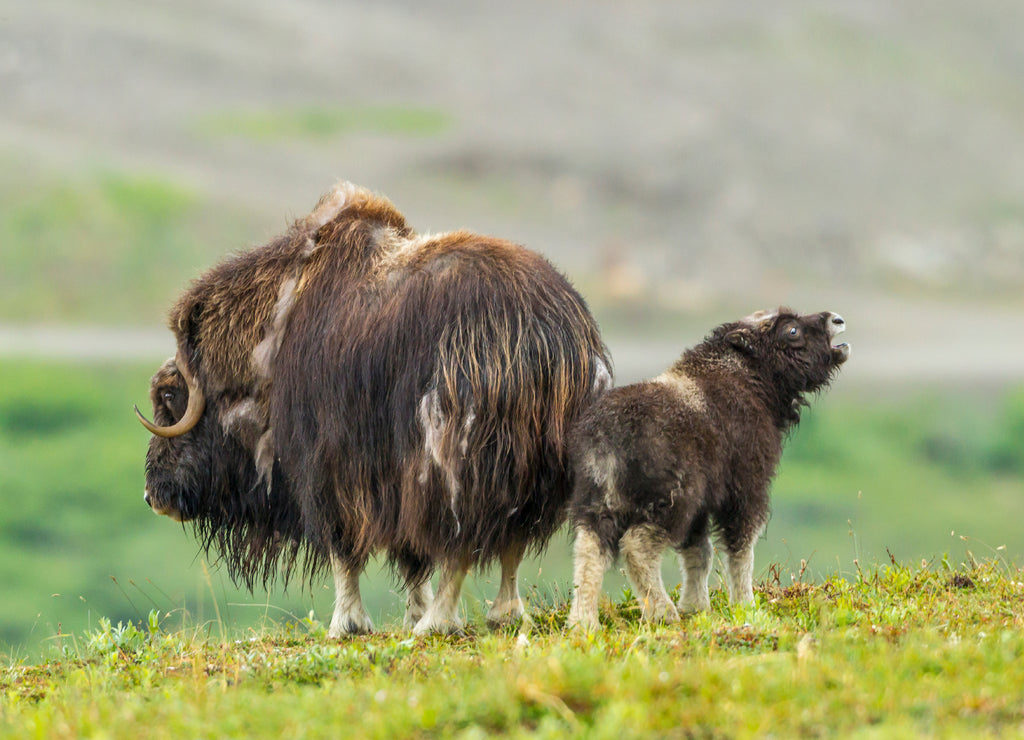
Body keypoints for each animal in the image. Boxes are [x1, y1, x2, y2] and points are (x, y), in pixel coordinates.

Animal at [136, 182, 611, 635]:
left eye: (167, 395)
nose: (151, 495)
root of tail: (549, 333)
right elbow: (413, 557)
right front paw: (407, 613)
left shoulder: (330, 470)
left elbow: (345, 550)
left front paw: (347, 624)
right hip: (534, 469)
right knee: (510, 538)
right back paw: (502, 616)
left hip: (456, 460)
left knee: (461, 541)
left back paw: (437, 623)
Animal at [565, 308, 849, 631]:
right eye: (791, 330)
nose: (836, 319)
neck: (748, 376)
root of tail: (606, 434)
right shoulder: (745, 489)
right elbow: (739, 549)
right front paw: (746, 606)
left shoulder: (701, 508)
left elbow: (698, 553)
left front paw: (696, 607)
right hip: (669, 502)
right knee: (637, 547)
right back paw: (662, 612)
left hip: (597, 502)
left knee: (590, 550)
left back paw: (583, 622)